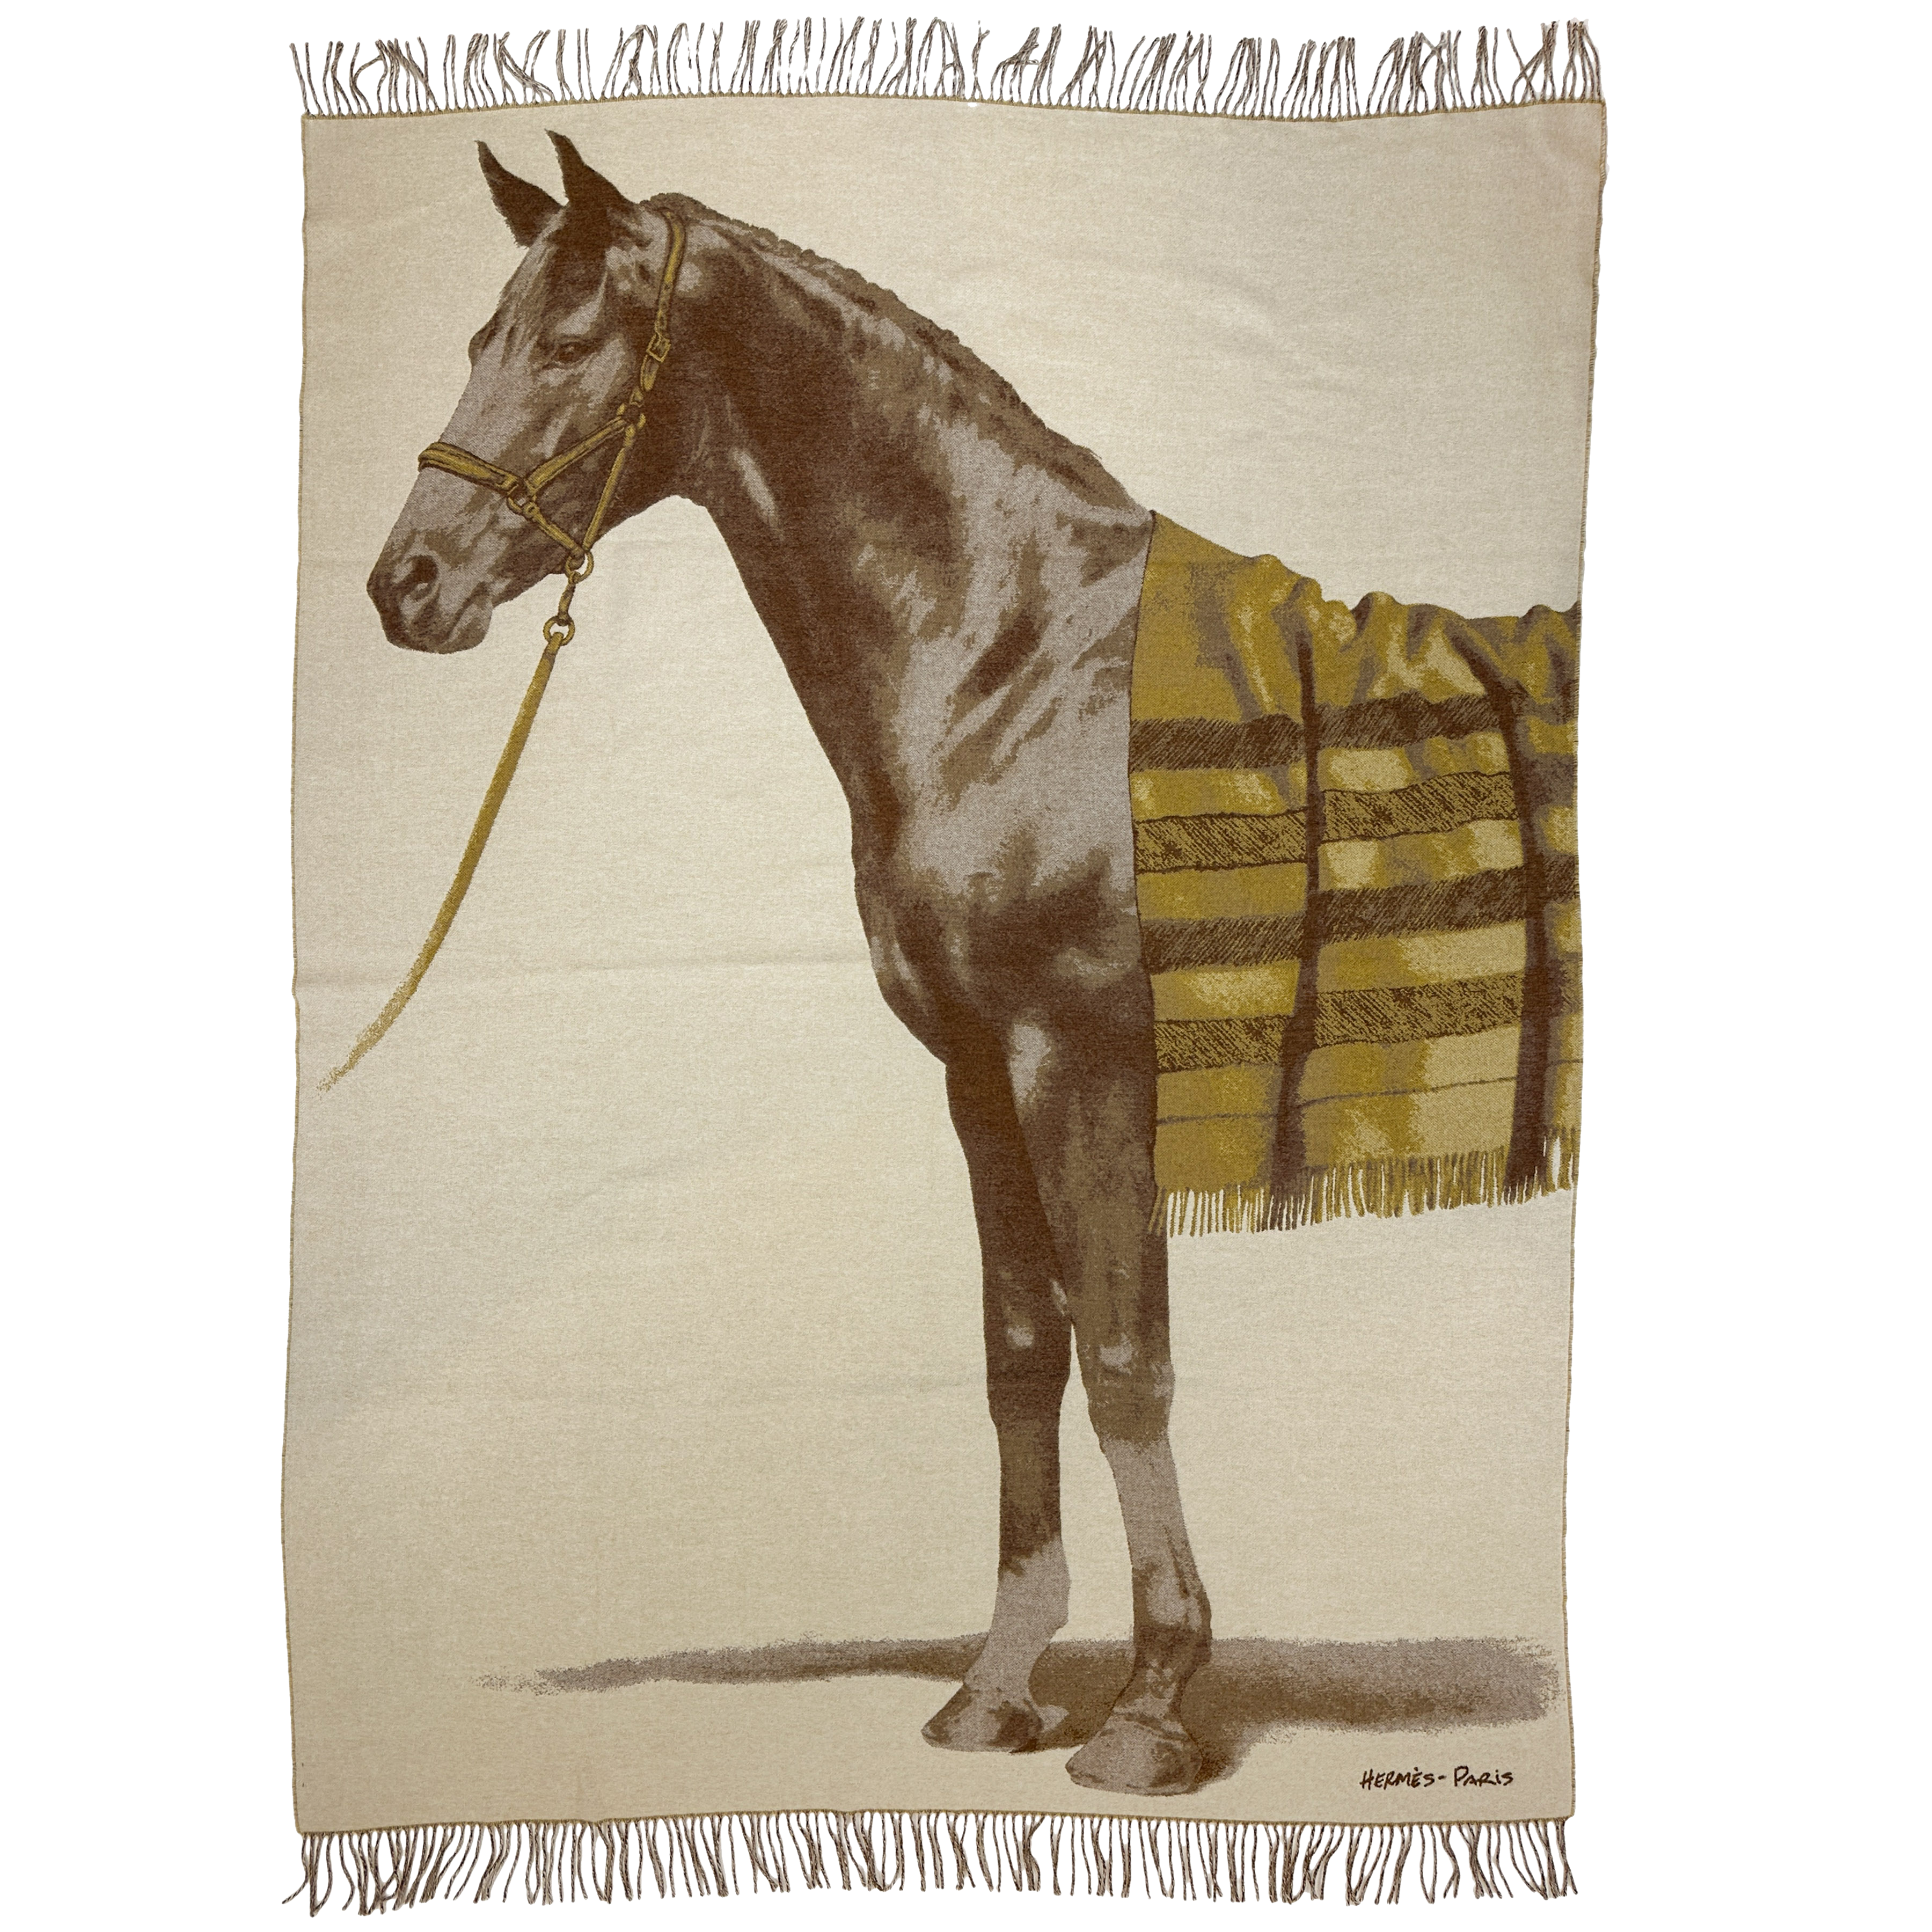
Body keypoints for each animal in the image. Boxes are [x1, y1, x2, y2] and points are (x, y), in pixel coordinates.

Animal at [366, 132, 1214, 1799]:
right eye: (480, 337)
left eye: (567, 343)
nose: (404, 585)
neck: (1018, 668)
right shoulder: (982, 1072)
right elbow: (1023, 1351)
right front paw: (999, 1690)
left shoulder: (1087, 1054)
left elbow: (1125, 1358)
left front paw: (1151, 1710)